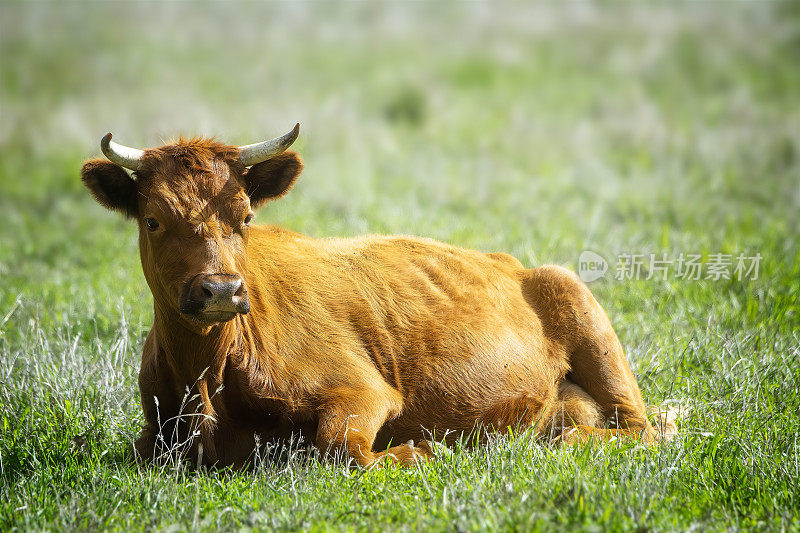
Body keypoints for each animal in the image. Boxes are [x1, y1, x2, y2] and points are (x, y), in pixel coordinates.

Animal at [79, 123, 668, 466]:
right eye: (153, 220)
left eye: (245, 217)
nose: (220, 290)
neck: (208, 381)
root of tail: (517, 264)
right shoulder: (153, 431)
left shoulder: (362, 391)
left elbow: (342, 447)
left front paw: (421, 450)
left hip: (587, 320)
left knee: (644, 429)